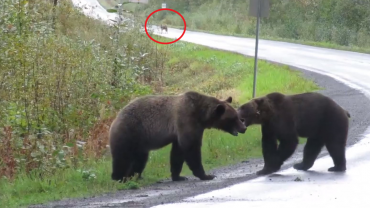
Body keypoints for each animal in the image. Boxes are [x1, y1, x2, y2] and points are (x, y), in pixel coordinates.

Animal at [108, 91, 247, 182]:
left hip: (140, 143)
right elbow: (191, 148)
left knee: (140, 158)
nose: (244, 127)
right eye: (233, 118)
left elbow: (178, 152)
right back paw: (119, 177)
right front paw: (206, 175)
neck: (201, 116)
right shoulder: (186, 120)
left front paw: (178, 176)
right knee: (122, 156)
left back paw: (136, 176)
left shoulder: (182, 131)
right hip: (130, 132)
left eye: (237, 115)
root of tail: (115, 119)